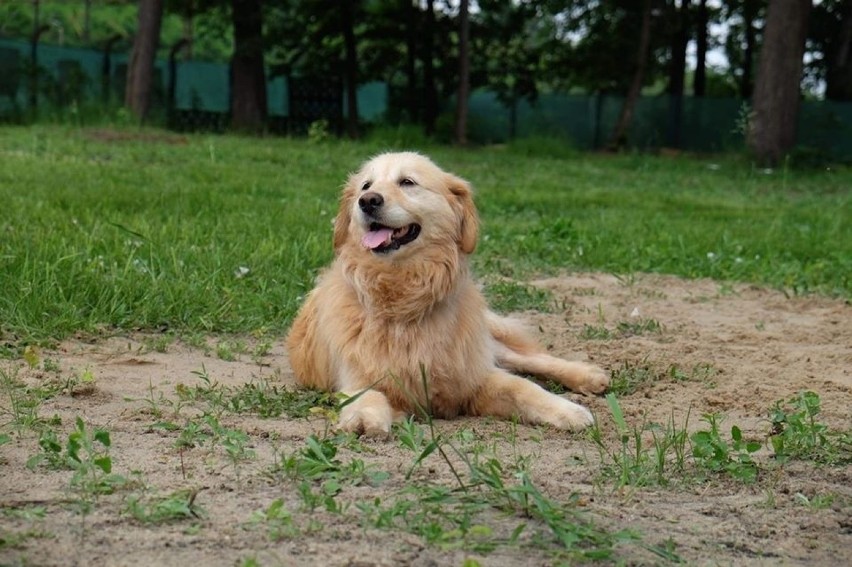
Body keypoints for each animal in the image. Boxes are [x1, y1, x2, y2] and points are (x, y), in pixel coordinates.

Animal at [290, 153, 608, 438]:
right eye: (366, 185)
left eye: (407, 182)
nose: (368, 201)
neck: (402, 299)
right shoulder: (357, 375)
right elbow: (365, 394)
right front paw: (365, 418)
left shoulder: (473, 375)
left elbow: (524, 387)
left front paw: (568, 410)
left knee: (528, 359)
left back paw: (587, 376)